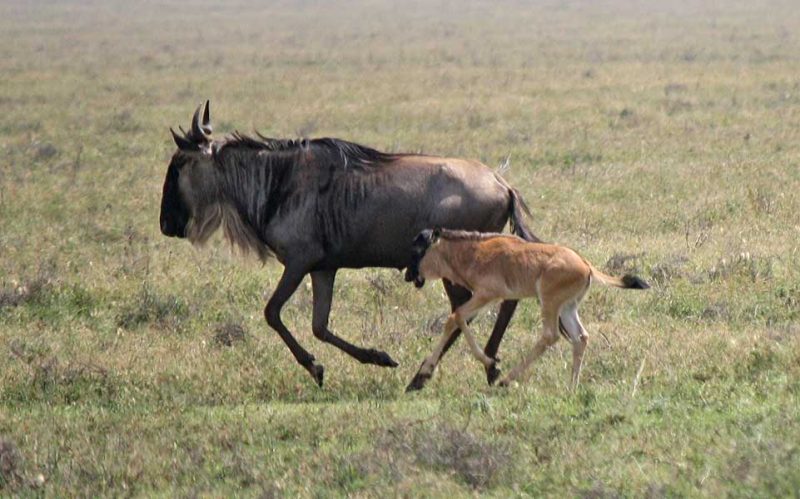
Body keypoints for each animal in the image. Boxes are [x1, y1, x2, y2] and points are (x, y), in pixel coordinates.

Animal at [404, 228, 649, 391]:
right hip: (567, 307)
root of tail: (586, 265)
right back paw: (571, 388)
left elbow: (455, 317)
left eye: (417, 249)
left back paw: (506, 380)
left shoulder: (488, 295)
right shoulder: (482, 298)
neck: (472, 252)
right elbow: (456, 319)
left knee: (550, 336)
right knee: (581, 337)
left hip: (549, 303)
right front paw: (424, 372)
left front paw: (491, 365)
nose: (408, 276)